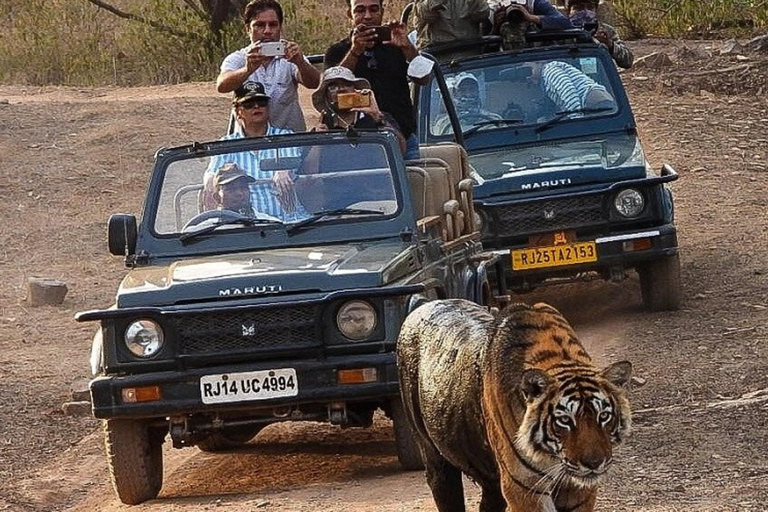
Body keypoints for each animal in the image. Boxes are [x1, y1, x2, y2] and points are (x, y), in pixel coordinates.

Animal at [396, 298, 632, 512]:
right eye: (564, 420)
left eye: (604, 416)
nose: (594, 463)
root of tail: (422, 304)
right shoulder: (524, 487)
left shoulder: (579, 491)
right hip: (436, 460)